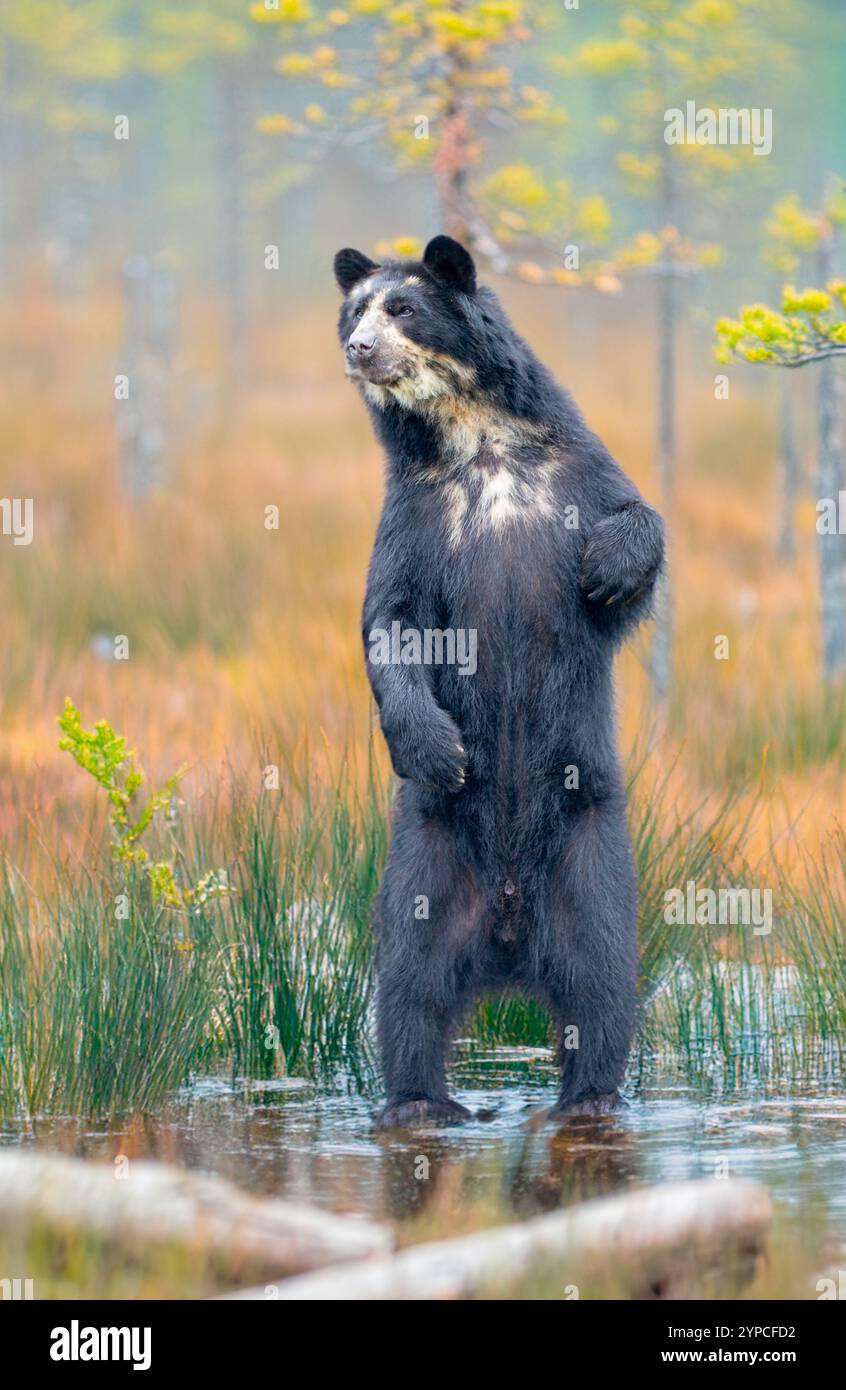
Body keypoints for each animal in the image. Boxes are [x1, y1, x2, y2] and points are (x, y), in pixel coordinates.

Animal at [334, 235, 665, 1129]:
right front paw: (436, 745)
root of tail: (510, 947)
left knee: (602, 980)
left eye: (402, 307)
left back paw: (587, 1098)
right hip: (425, 856)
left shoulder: (572, 470)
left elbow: (636, 518)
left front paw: (608, 570)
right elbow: (391, 621)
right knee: (408, 988)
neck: (474, 439)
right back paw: (420, 1102)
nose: (359, 349)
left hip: (590, 846)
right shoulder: (417, 518)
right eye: (355, 310)